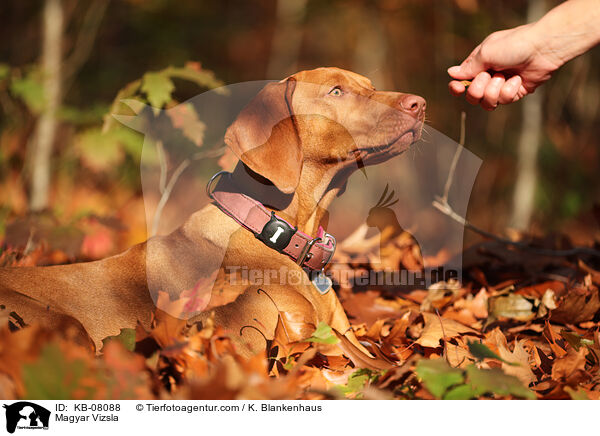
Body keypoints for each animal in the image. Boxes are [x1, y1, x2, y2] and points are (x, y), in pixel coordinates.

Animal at [0, 67, 424, 368]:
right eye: (336, 91)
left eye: (369, 85)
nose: (419, 103)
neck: (274, 232)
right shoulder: (262, 338)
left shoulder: (344, 334)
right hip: (60, 323)